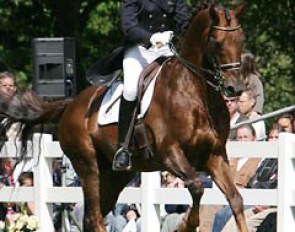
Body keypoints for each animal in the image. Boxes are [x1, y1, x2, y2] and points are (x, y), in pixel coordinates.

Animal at [0, 3, 250, 232]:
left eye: (241, 39)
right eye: (217, 42)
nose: (235, 88)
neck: (196, 93)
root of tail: (71, 105)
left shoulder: (215, 155)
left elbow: (236, 199)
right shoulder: (170, 153)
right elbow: (197, 186)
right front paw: (186, 225)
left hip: (116, 176)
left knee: (93, 216)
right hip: (88, 166)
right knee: (95, 217)